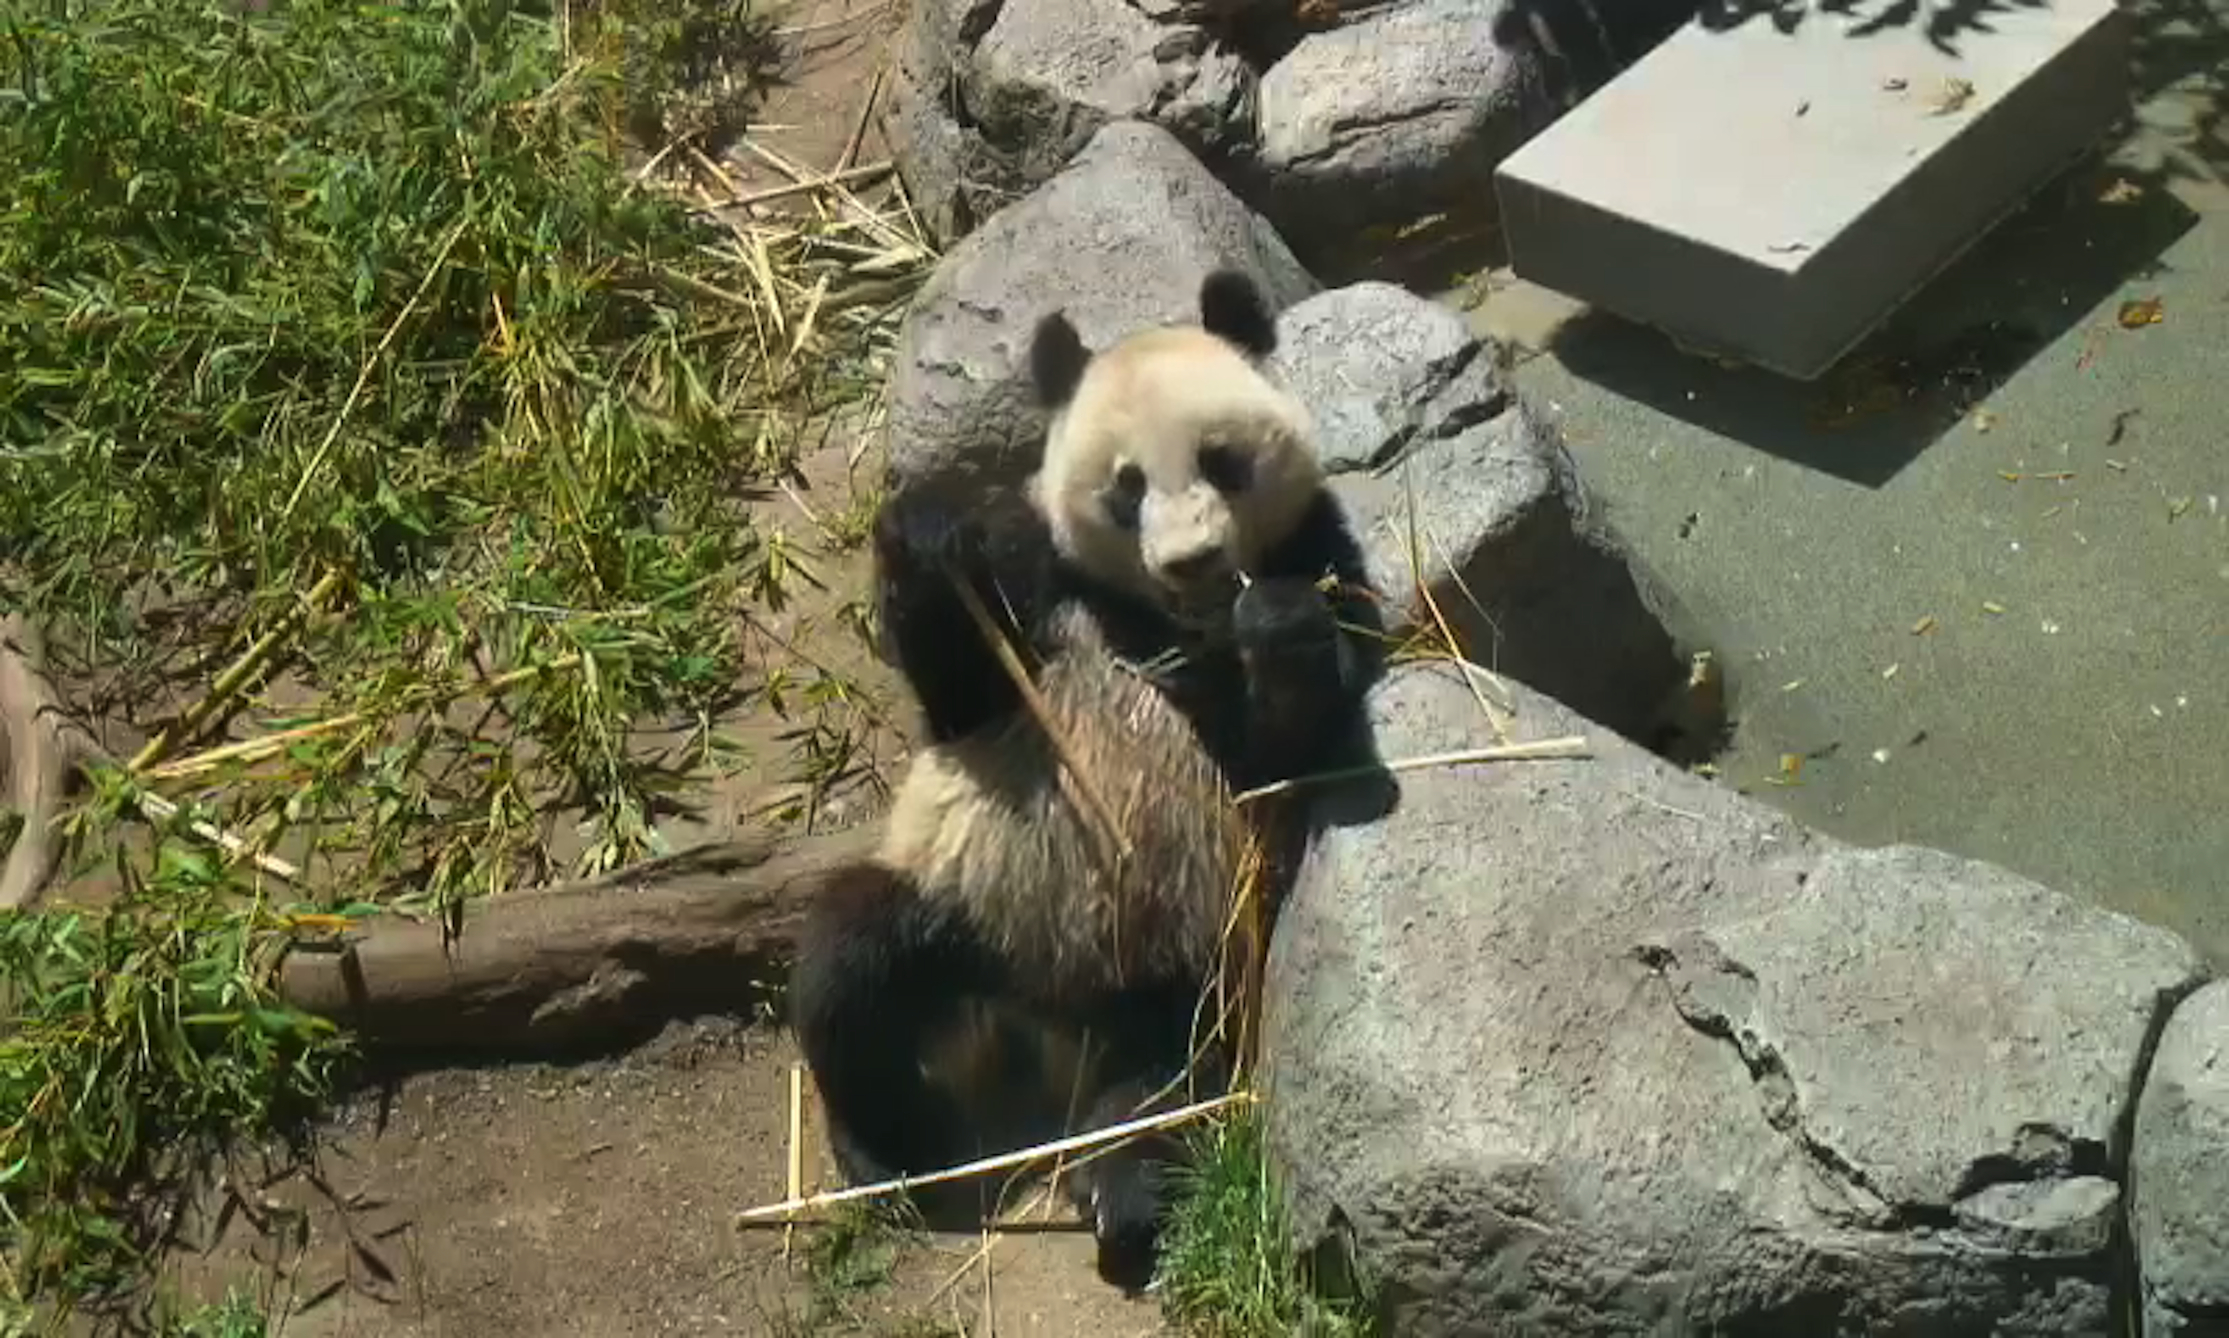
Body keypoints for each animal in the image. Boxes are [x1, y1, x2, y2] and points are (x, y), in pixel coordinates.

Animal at [788, 268, 1384, 1291]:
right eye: (1125, 488)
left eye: (1221, 460)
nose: (1192, 562)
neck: (1163, 620)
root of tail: (1047, 1021)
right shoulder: (1041, 579)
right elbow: (960, 695)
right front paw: (928, 535)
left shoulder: (1320, 551)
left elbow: (1294, 745)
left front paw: (1275, 625)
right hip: (964, 904)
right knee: (848, 973)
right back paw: (889, 1154)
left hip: (1190, 961)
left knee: (1168, 1083)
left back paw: (1121, 1192)